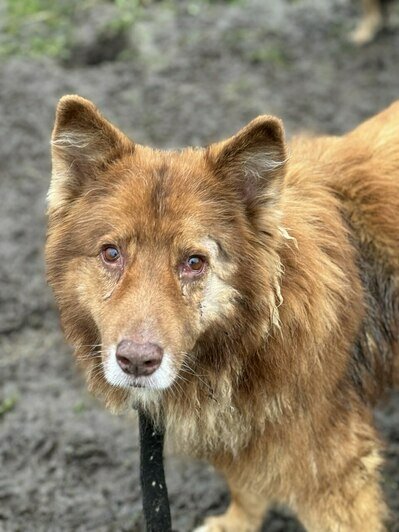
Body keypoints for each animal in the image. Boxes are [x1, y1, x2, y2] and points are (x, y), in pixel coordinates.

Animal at [45, 96, 398, 532]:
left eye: (194, 262)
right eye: (111, 253)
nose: (137, 362)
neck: (257, 337)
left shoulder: (335, 480)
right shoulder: (236, 430)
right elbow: (244, 487)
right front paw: (238, 521)